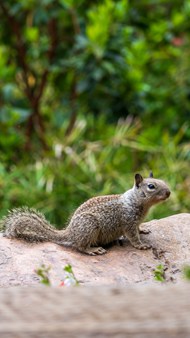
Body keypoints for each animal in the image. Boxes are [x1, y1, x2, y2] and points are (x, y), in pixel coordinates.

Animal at [1, 173, 171, 255]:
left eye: (163, 181)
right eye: (151, 186)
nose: (169, 192)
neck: (136, 201)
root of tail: (69, 232)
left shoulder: (136, 221)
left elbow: (138, 228)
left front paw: (144, 230)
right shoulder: (128, 221)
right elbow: (132, 236)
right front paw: (141, 245)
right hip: (89, 227)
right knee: (80, 247)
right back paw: (93, 250)